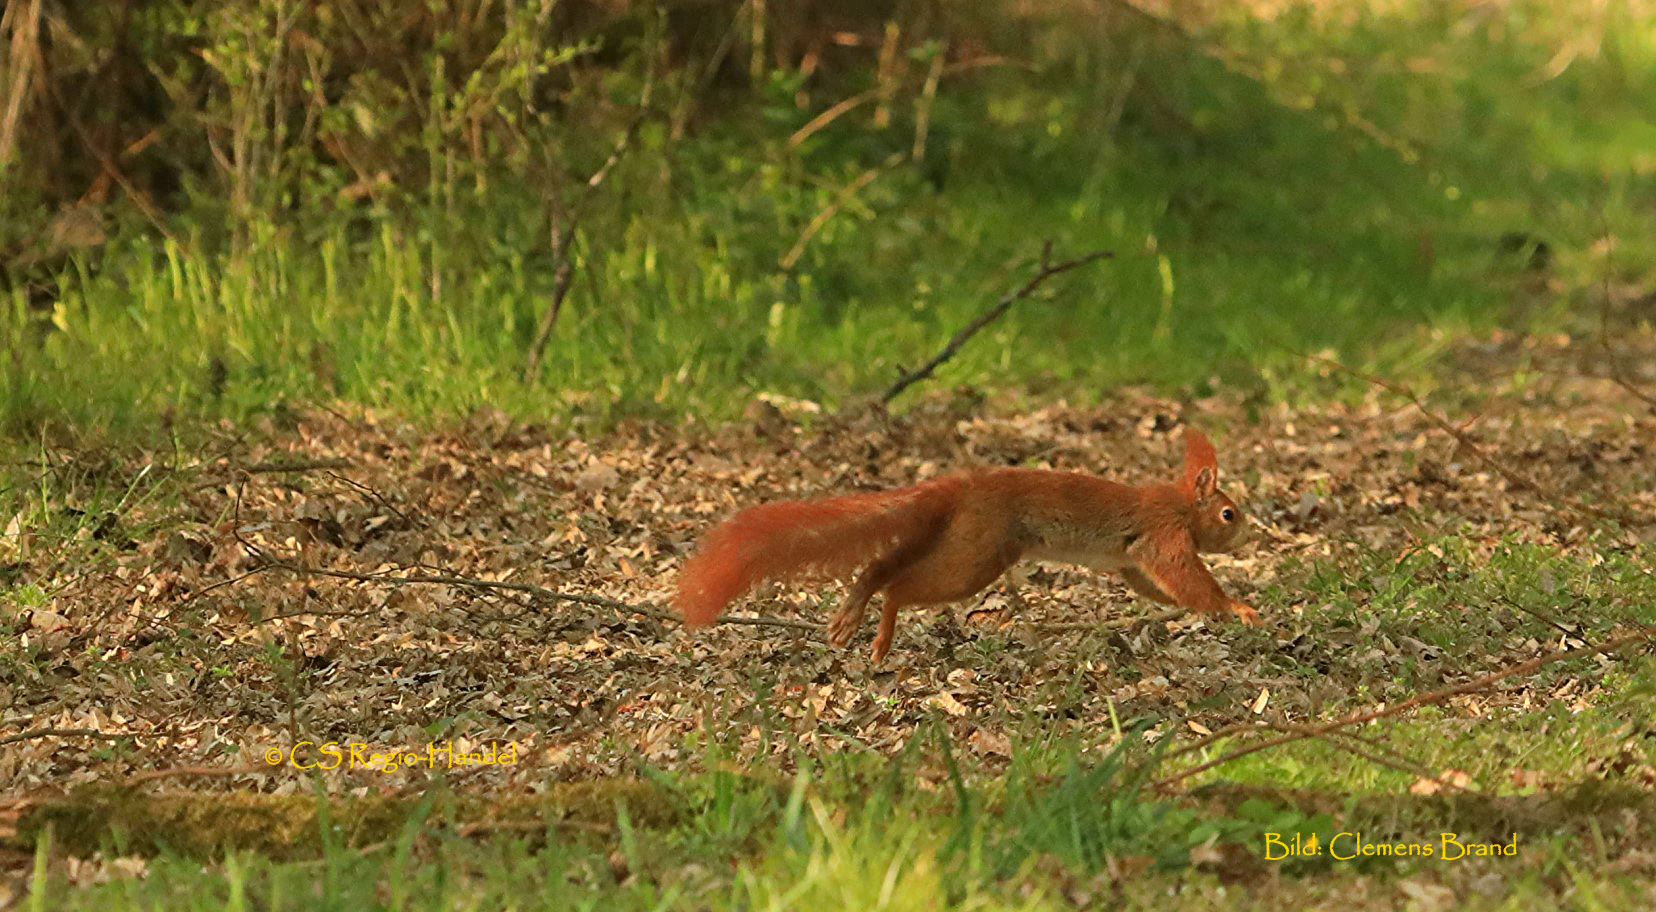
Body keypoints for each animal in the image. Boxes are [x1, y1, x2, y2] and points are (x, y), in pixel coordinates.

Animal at [672, 427, 1251, 665]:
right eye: (1229, 513)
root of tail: (966, 486)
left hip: (961, 539)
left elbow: (1157, 586)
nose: (1246, 531)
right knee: (901, 585)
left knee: (882, 565)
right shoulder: (1163, 533)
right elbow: (1185, 576)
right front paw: (1237, 608)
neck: (1181, 505)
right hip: (975, 554)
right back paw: (880, 631)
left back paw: (851, 615)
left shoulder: (1132, 560)